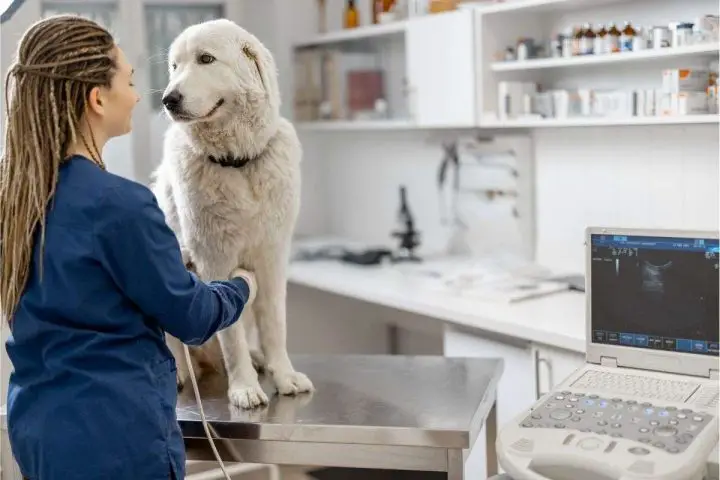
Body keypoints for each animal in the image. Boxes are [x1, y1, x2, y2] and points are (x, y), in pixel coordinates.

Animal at [150, 19, 310, 408]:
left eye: (206, 59)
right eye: (175, 66)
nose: (168, 99)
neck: (237, 162)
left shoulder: (272, 258)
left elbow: (275, 324)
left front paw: (283, 375)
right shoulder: (214, 260)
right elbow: (230, 335)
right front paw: (244, 388)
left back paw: (258, 359)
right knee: (176, 346)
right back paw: (180, 372)